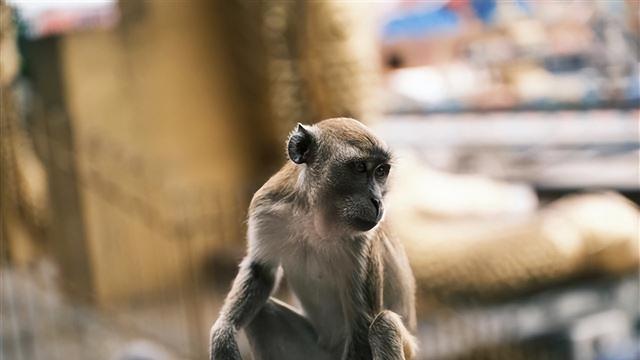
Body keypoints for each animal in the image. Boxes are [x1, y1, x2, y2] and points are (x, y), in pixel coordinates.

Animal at [210, 118, 418, 360]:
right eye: (360, 168)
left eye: (381, 171)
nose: (377, 200)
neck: (316, 219)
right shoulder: (267, 206)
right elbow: (261, 270)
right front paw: (223, 332)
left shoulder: (363, 242)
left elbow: (362, 326)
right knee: (261, 314)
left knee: (383, 325)